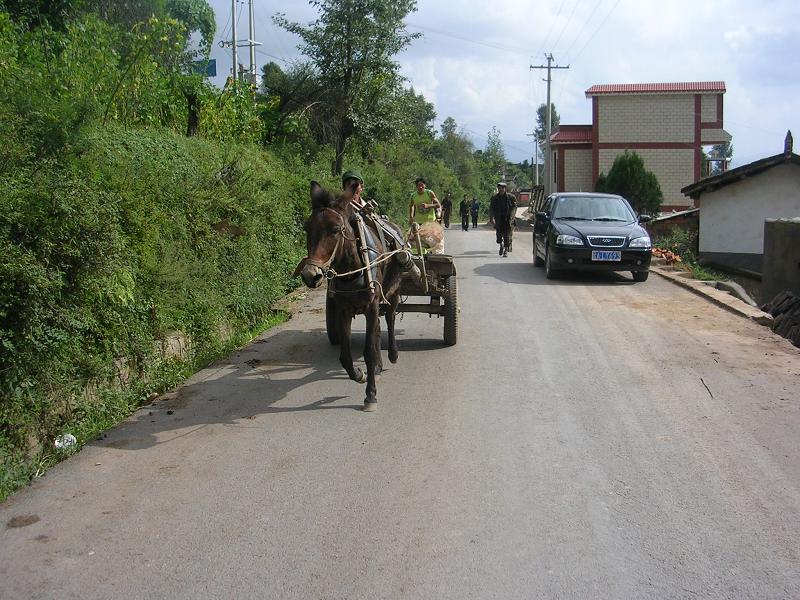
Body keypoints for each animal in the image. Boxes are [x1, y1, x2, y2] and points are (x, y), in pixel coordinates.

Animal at [294, 180, 412, 410]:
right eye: (307, 228)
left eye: (335, 229)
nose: (310, 274)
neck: (353, 268)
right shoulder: (343, 309)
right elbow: (345, 356)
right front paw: (359, 374)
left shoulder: (373, 304)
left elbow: (367, 351)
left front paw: (370, 395)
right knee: (377, 329)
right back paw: (378, 366)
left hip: (392, 292)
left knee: (390, 319)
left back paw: (392, 354)